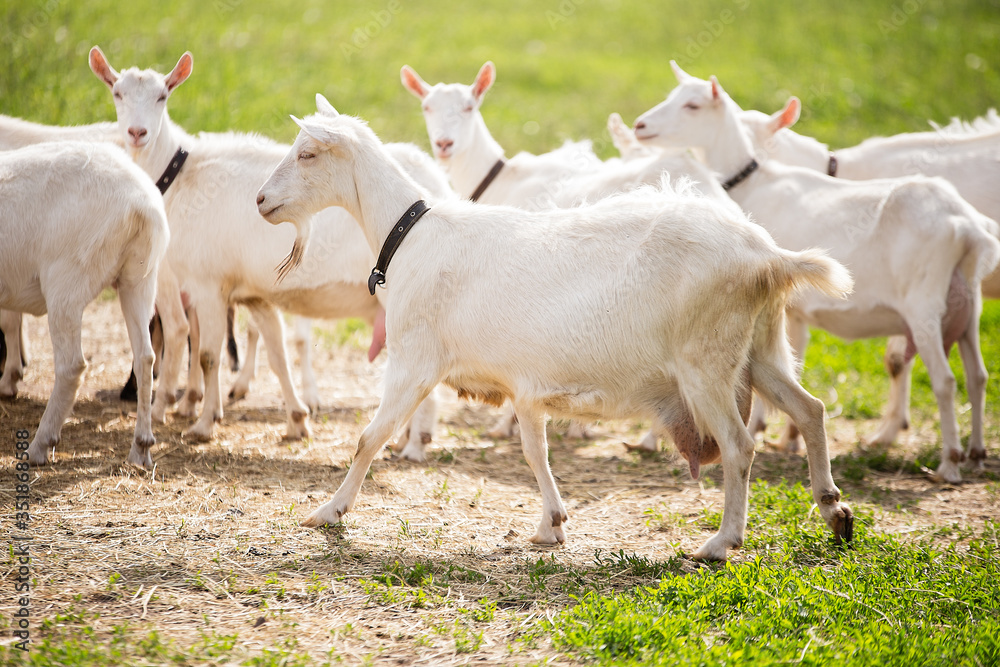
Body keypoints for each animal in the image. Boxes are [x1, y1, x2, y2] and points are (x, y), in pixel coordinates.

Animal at [2, 141, 168, 466]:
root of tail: (142, 203)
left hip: (67, 279)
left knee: (72, 367)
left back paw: (39, 446)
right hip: (140, 278)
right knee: (145, 357)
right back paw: (141, 448)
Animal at [254, 99, 855, 562]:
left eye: (307, 153)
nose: (260, 200)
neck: (410, 234)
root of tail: (767, 255)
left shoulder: (414, 361)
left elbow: (369, 437)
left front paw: (328, 512)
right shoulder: (524, 386)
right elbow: (534, 452)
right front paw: (552, 525)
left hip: (705, 362)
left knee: (738, 444)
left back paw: (722, 542)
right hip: (761, 348)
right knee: (810, 409)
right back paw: (835, 511)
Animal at [634, 63, 1000, 483]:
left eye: (692, 105)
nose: (640, 126)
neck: (756, 182)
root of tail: (968, 227)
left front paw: (764, 429)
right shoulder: (792, 310)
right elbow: (794, 365)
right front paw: (788, 437)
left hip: (924, 306)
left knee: (945, 380)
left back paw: (949, 463)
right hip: (967, 304)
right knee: (977, 376)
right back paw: (976, 453)